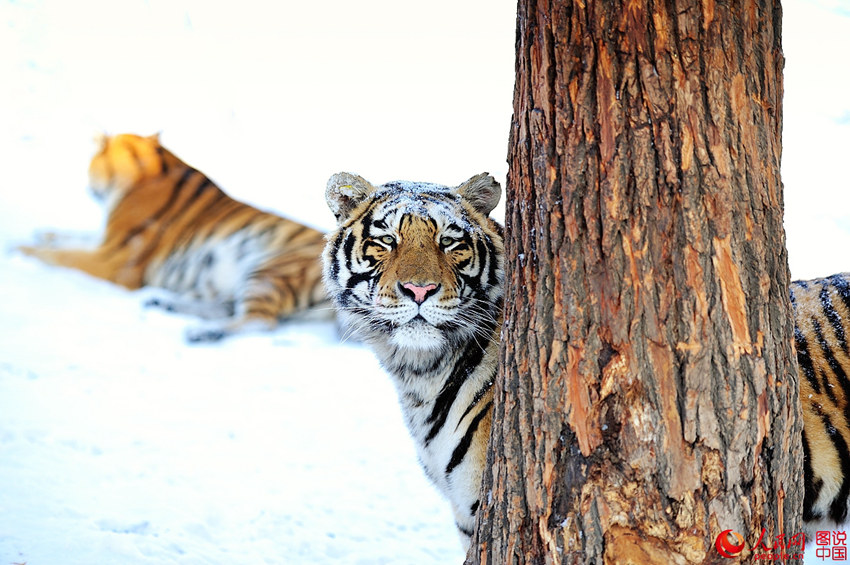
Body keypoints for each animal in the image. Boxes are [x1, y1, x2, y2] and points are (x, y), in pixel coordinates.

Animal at [17, 134, 328, 342]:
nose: (87, 187)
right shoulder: (108, 241)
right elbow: (75, 237)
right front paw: (43, 233)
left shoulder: (114, 260)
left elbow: (61, 255)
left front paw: (17, 248)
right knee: (226, 307)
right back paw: (163, 303)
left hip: (272, 270)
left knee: (261, 320)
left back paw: (201, 332)